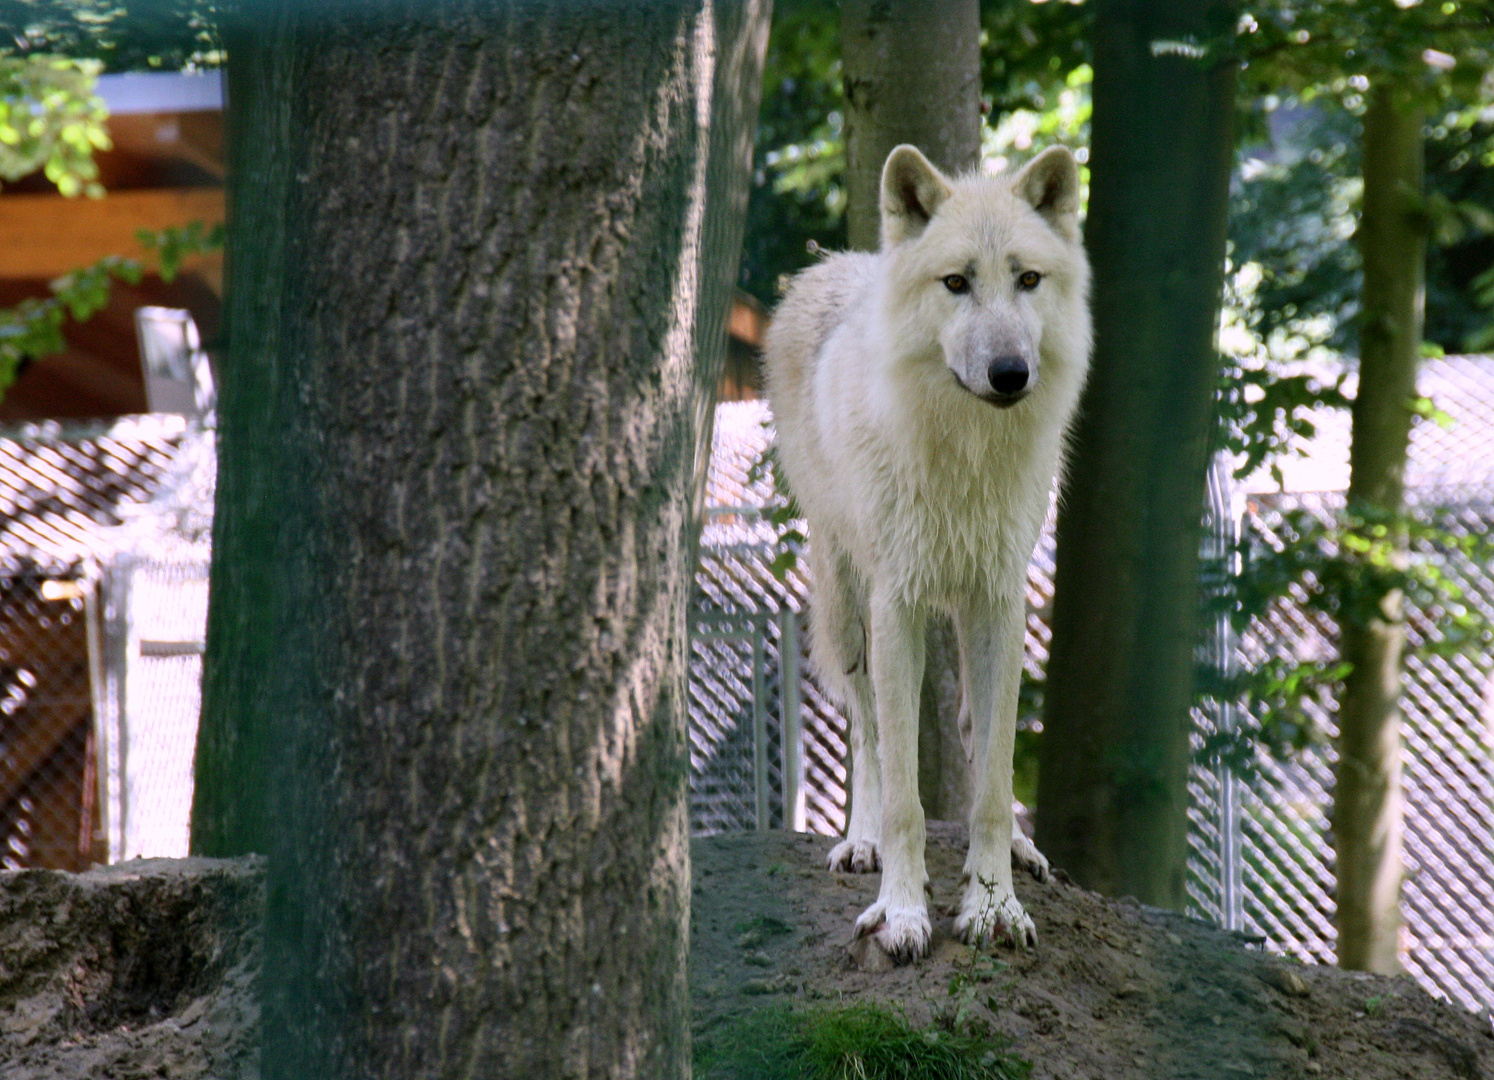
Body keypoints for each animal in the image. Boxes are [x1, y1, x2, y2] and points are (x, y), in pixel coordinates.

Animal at [764, 143, 1093, 961]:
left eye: (1028, 280)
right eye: (956, 283)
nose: (1011, 373)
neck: (966, 455)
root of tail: (836, 264)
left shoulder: (1002, 601)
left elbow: (993, 786)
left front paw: (993, 904)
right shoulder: (897, 603)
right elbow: (906, 795)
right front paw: (904, 912)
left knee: (977, 737)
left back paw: (1018, 855)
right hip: (848, 608)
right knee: (866, 734)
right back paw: (860, 842)